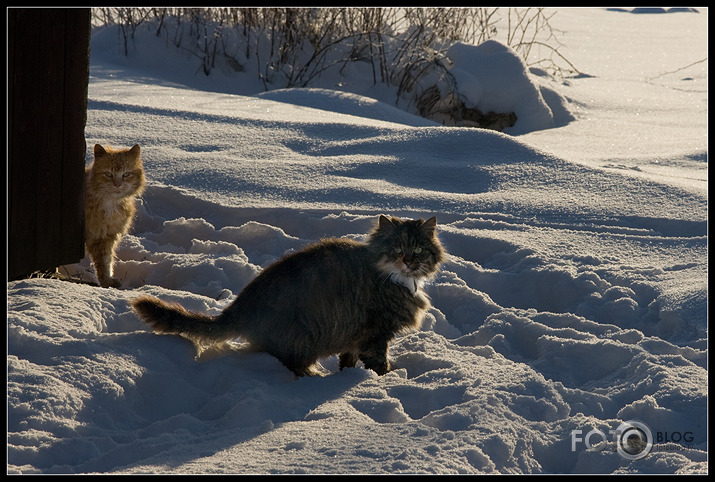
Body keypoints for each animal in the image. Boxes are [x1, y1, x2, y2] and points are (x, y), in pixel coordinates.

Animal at [84, 142, 145, 286]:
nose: (117, 185)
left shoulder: (105, 236)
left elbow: (105, 262)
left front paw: (107, 281)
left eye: (126, 174)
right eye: (108, 174)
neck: (110, 203)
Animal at [131, 216, 444, 376]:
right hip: (302, 339)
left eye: (418, 249)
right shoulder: (375, 334)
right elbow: (379, 364)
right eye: (397, 248)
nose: (408, 261)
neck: (397, 279)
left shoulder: (354, 337)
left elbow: (348, 361)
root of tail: (239, 307)